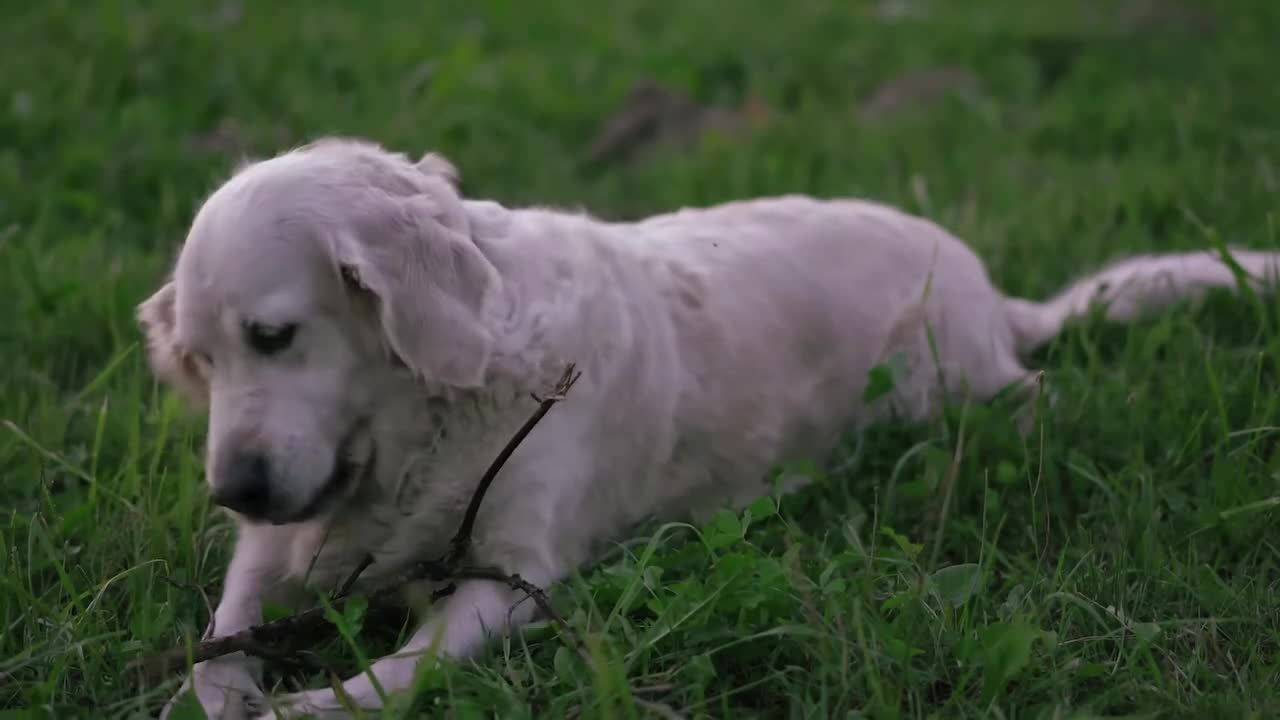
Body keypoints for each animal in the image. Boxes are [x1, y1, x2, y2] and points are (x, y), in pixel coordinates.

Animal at [140, 137, 1280, 712]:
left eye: (275, 335)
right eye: (200, 358)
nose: (232, 491)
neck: (432, 413)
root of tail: (989, 289)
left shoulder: (513, 578)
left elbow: (388, 678)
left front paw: (300, 706)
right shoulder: (277, 549)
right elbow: (217, 648)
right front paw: (224, 689)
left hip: (959, 392)